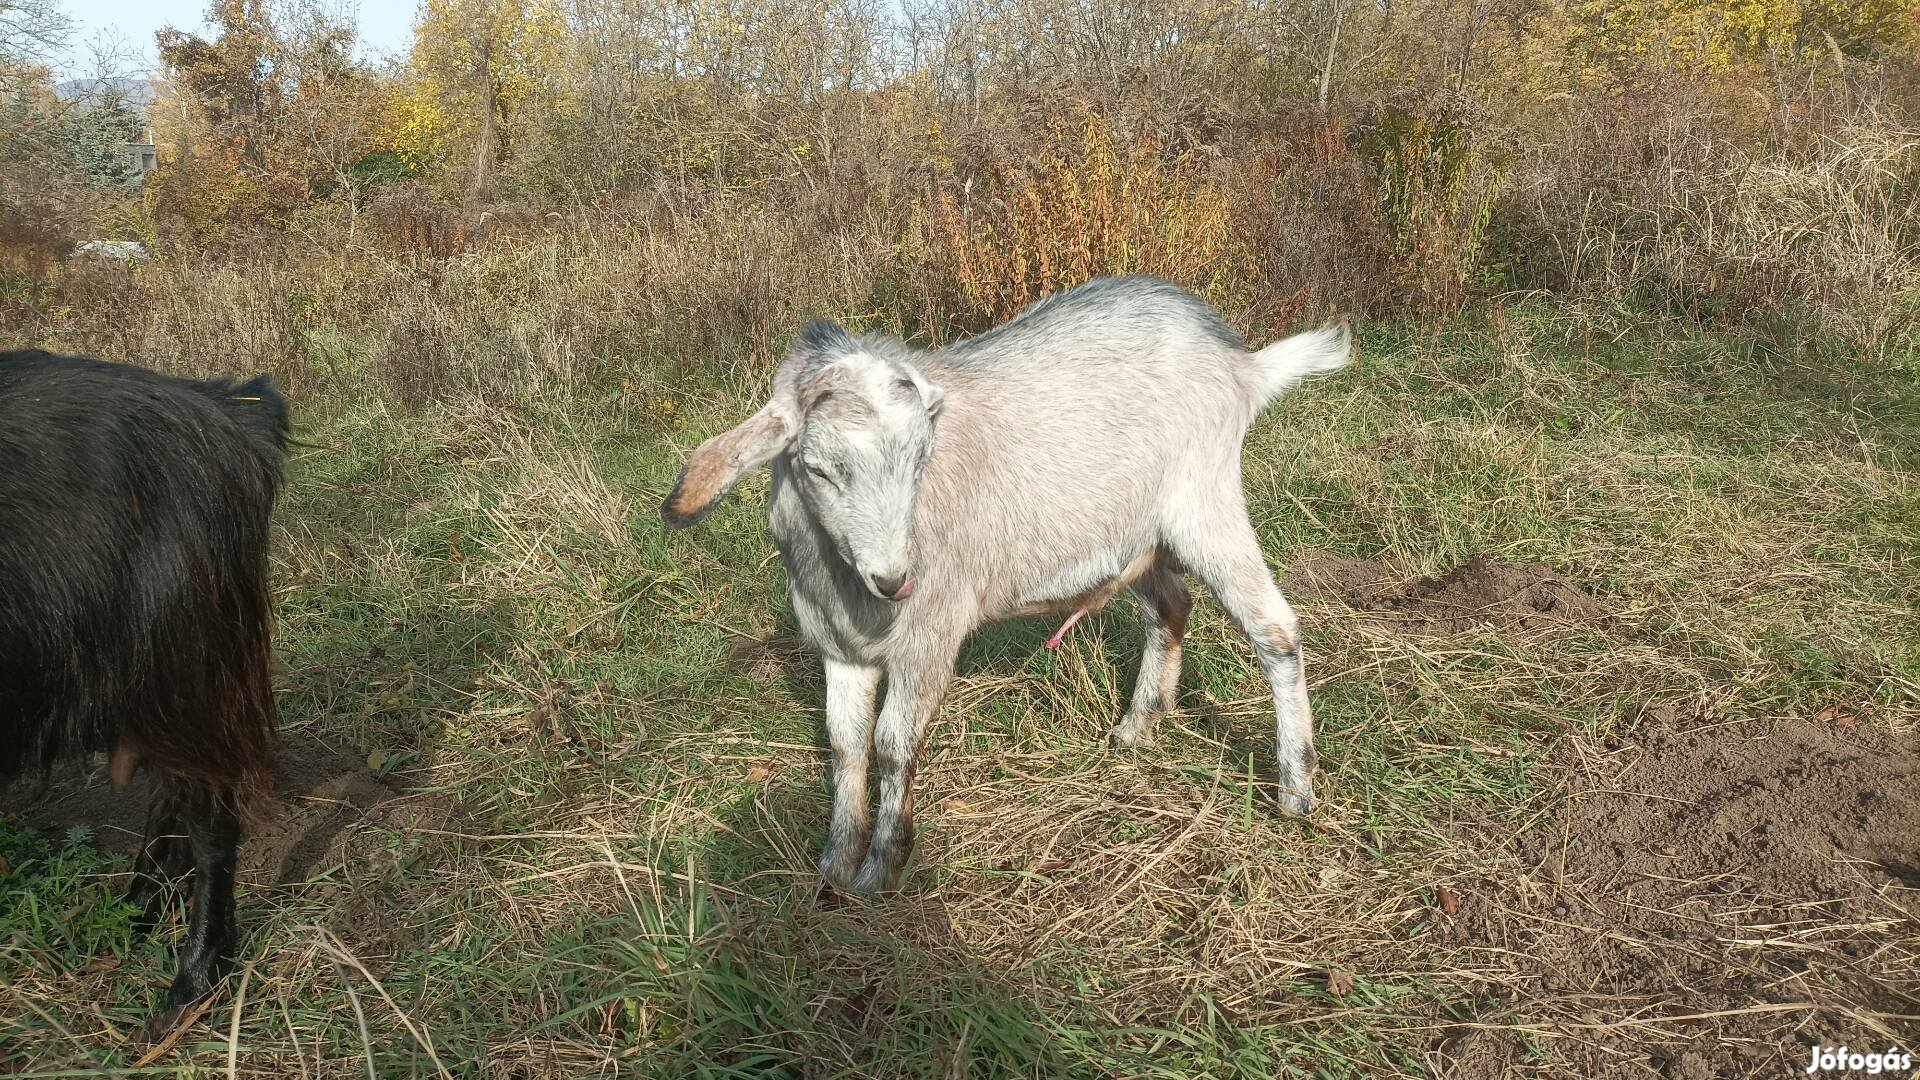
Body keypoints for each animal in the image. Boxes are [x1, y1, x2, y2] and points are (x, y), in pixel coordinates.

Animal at [0, 349, 288, 1030]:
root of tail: (225, 411)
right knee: (172, 794)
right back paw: (135, 909)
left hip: (180, 661)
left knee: (210, 819)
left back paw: (195, 978)